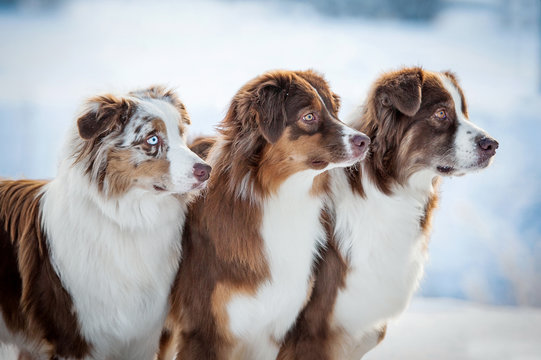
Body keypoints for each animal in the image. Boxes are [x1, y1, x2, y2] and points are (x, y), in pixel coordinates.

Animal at [0, 86, 209, 360]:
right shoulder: (74, 340)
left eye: (180, 134)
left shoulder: (141, 338)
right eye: (152, 139)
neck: (129, 221)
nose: (207, 170)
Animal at [168, 69, 372, 358]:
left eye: (334, 112)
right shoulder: (204, 331)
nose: (365, 141)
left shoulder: (274, 328)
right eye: (309, 116)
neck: (279, 199)